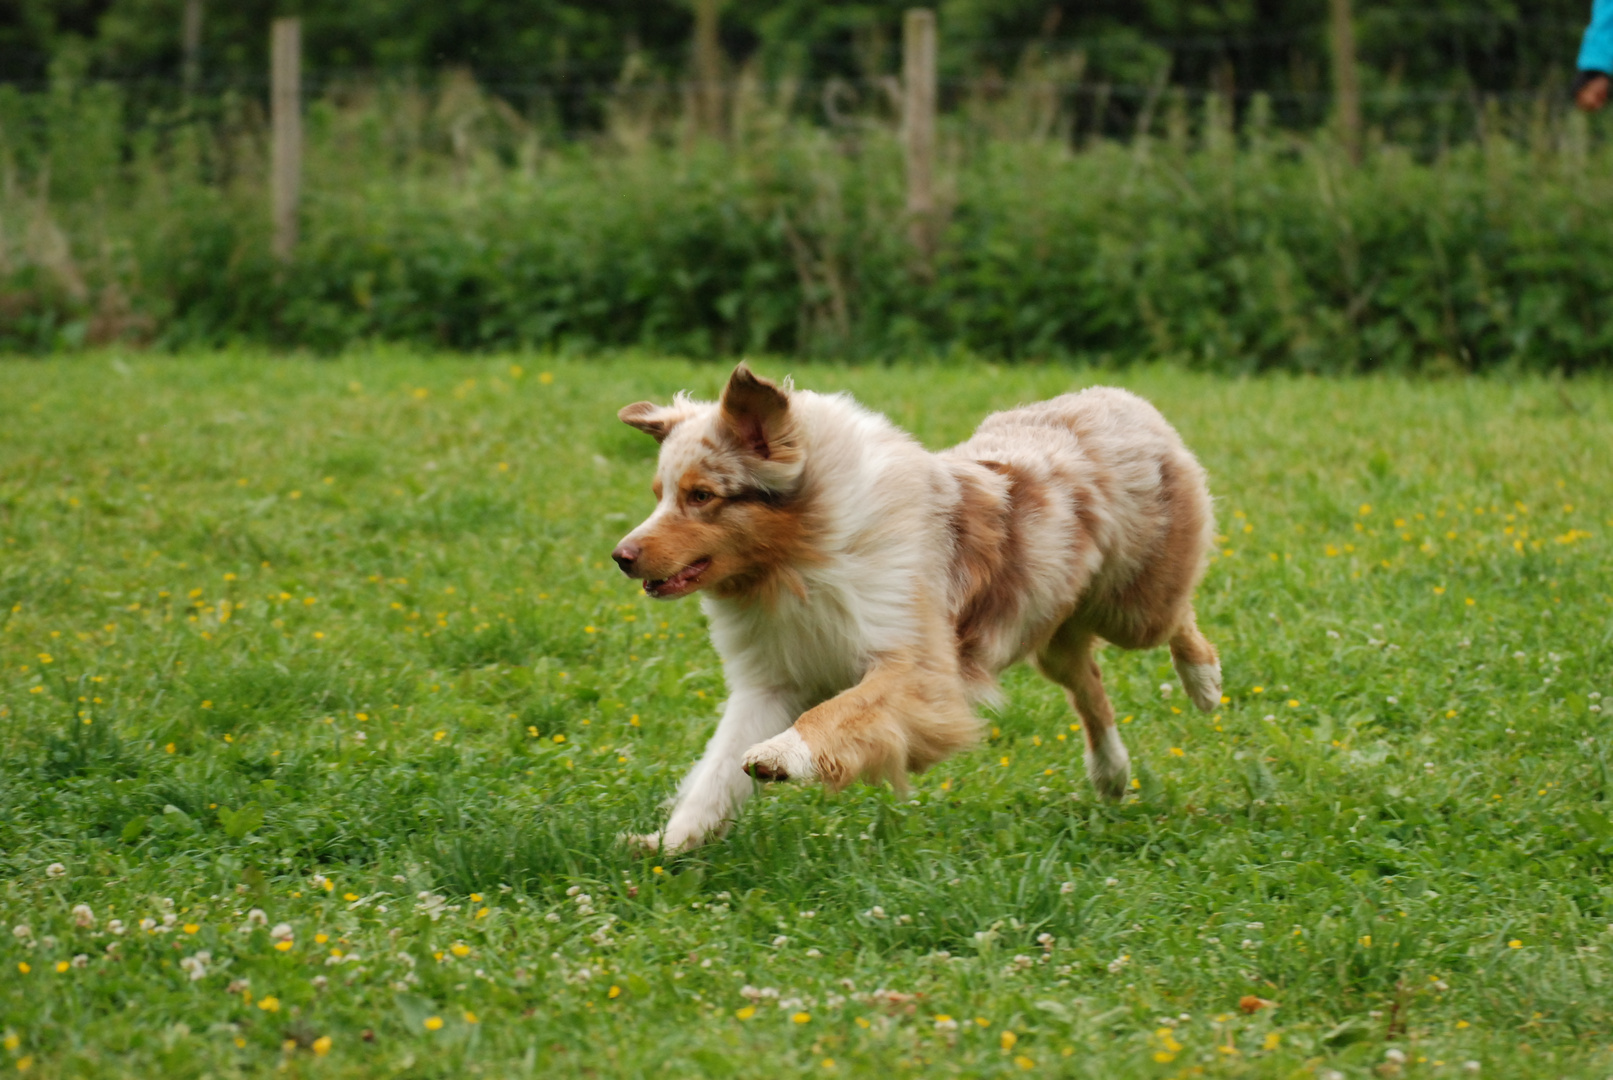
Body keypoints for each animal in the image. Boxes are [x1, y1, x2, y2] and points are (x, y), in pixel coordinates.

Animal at [609, 365, 1212, 857]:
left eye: (702, 496)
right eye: (660, 493)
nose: (621, 556)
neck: (796, 564)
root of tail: (1115, 396)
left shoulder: (919, 670)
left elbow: (834, 714)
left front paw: (781, 755)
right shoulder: (772, 681)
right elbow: (716, 773)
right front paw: (669, 844)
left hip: (1134, 608)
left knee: (1177, 622)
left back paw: (1204, 683)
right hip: (1052, 626)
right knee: (1088, 681)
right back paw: (1111, 774)